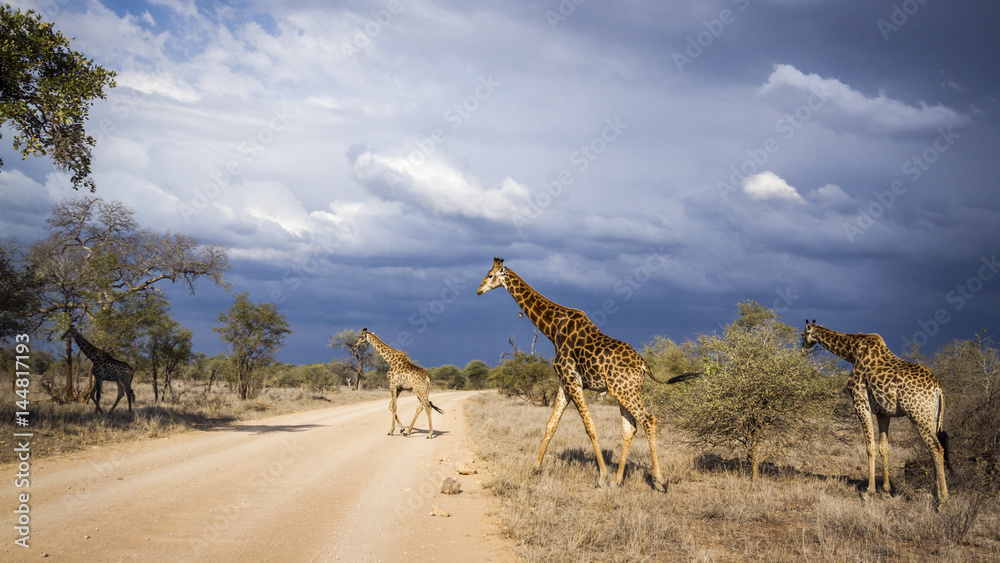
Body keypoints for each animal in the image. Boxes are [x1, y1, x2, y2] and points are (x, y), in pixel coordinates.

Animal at [478, 257, 675, 491]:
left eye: (490, 275)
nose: (479, 290)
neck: (552, 329)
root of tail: (643, 365)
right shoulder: (564, 383)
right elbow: (551, 425)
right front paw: (534, 469)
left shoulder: (573, 381)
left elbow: (590, 427)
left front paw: (602, 476)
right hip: (623, 391)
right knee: (630, 428)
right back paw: (618, 480)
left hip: (625, 391)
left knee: (648, 420)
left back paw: (659, 480)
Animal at [801, 320, 949, 502]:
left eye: (803, 334)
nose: (802, 349)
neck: (852, 352)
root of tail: (938, 389)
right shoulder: (883, 412)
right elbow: (884, 448)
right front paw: (886, 491)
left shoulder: (860, 402)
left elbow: (870, 447)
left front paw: (869, 491)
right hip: (932, 417)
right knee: (933, 448)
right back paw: (935, 493)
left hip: (918, 415)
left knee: (936, 448)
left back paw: (943, 498)